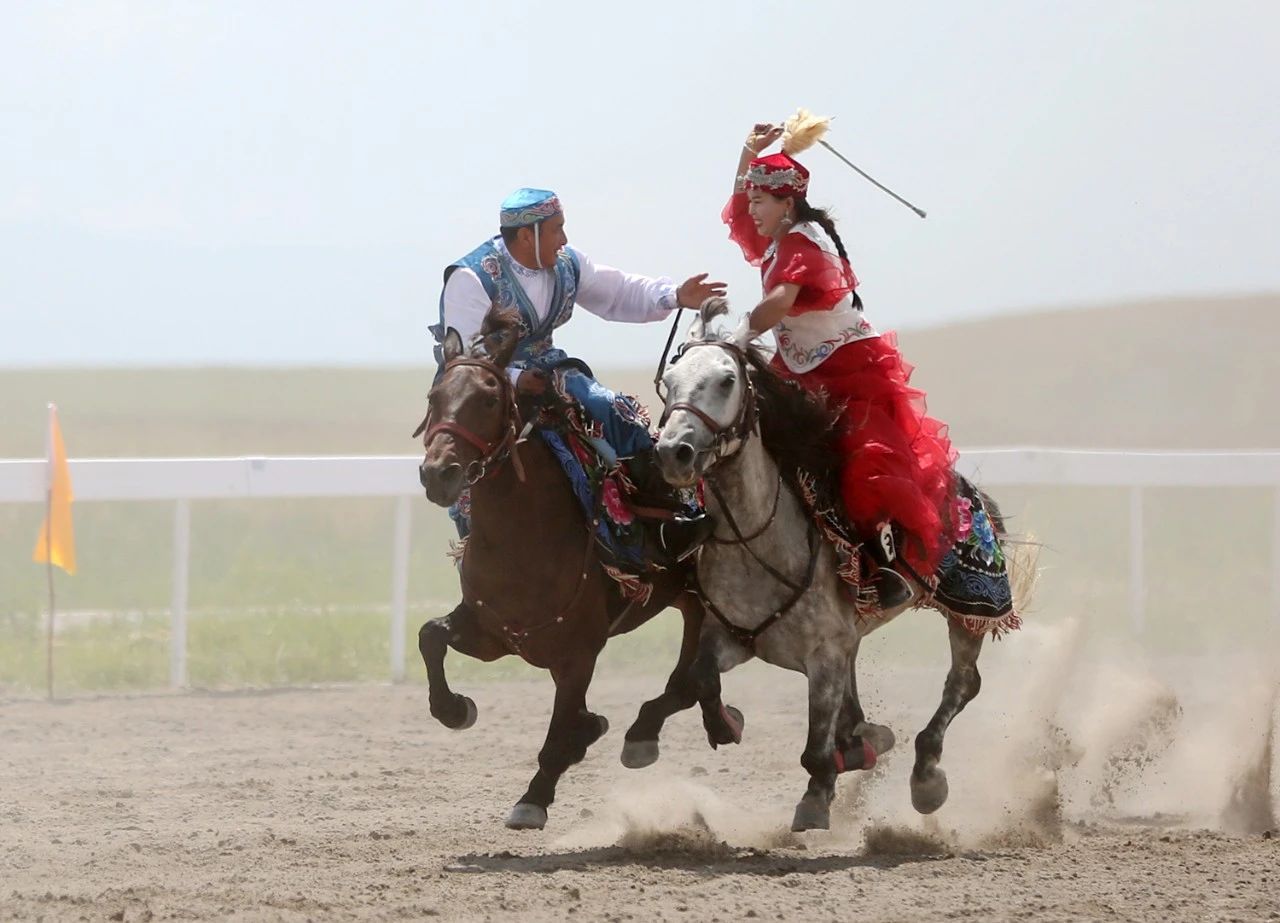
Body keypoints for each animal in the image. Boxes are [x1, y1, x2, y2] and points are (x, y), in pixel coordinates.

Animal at [417, 311, 742, 829]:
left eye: (488, 399)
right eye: (435, 398)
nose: (438, 473)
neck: (523, 541)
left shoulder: (579, 655)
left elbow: (557, 734)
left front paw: (534, 797)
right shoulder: (493, 633)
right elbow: (430, 635)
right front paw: (454, 709)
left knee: (690, 675)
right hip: (687, 600)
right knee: (692, 672)